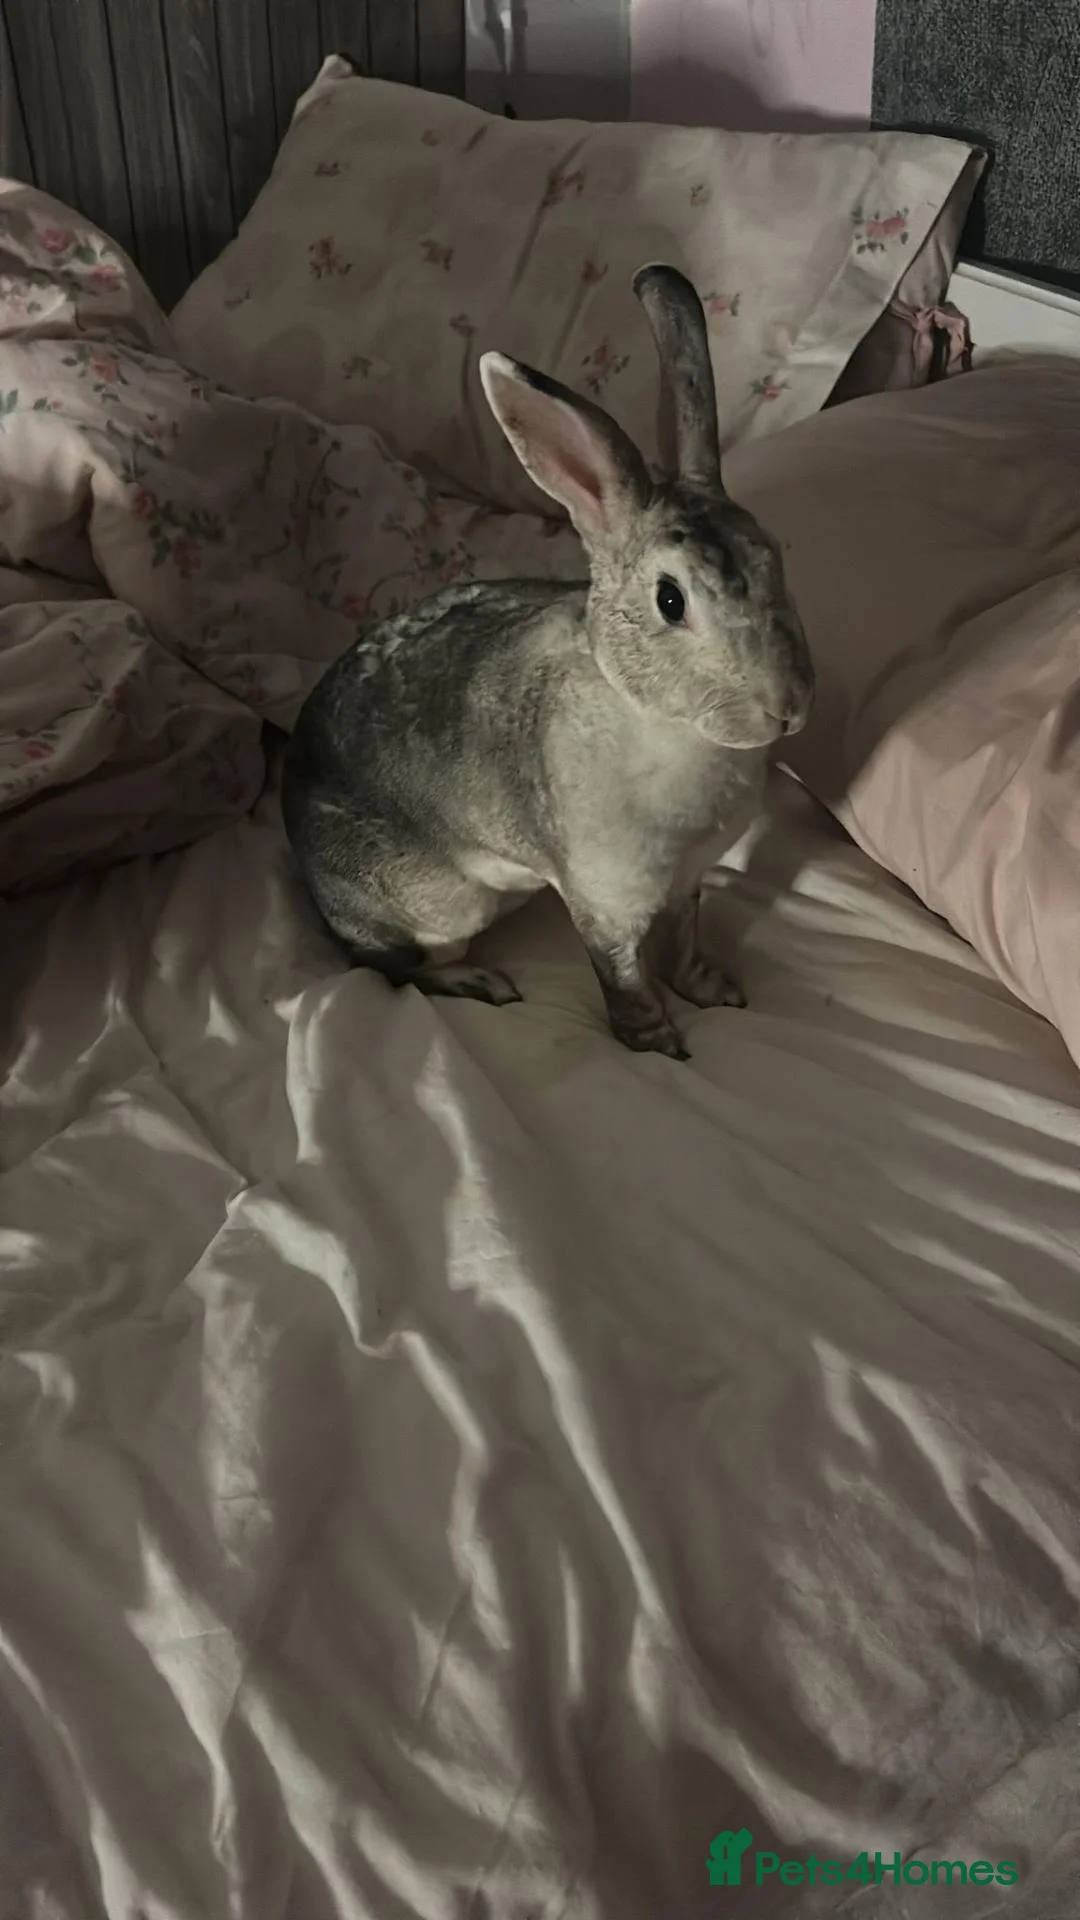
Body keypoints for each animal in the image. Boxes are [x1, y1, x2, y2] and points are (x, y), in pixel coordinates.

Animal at [282, 263, 814, 1060]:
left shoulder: (687, 882)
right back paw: (478, 982)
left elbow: (684, 939)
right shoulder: (603, 900)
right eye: (670, 600)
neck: (661, 723)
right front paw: (658, 1043)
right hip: (444, 906)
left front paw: (713, 989)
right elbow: (623, 976)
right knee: (389, 965)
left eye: (772, 553)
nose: (787, 707)